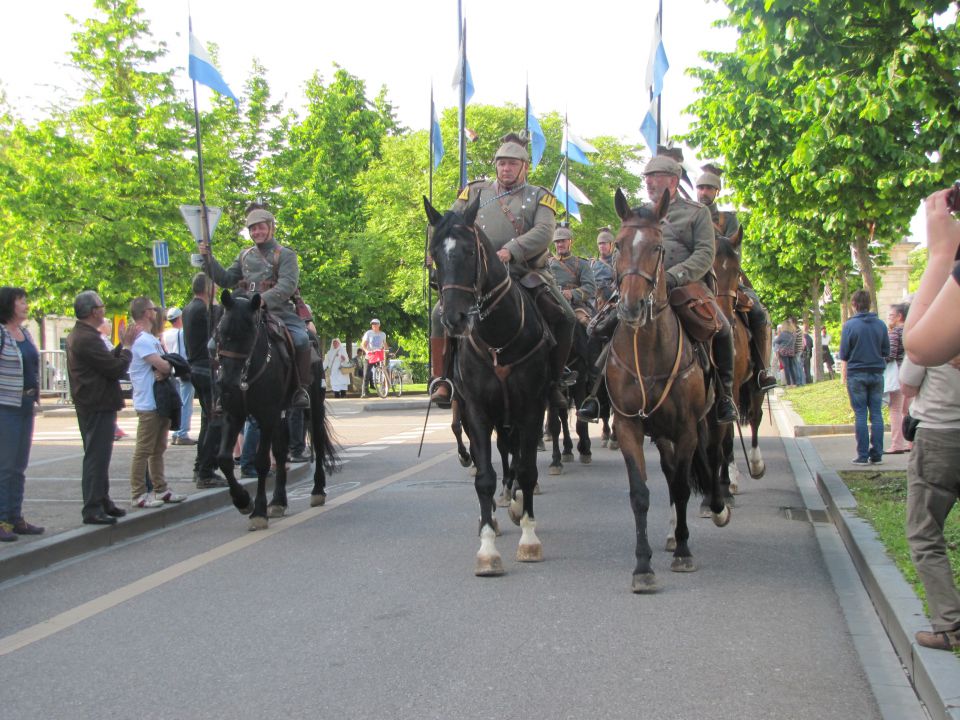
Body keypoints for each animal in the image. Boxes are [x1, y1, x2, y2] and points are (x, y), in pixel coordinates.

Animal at [216, 290, 340, 532]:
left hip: (313, 407)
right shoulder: (234, 415)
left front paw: (258, 512)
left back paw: (317, 490)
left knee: (318, 444)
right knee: (282, 453)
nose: (227, 384)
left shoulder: (266, 415)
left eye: (249, 333)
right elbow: (224, 459)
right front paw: (243, 500)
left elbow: (262, 462)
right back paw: (278, 501)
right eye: (220, 332)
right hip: (280, 416)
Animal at [424, 194, 552, 576]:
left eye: (469, 251)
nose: (453, 318)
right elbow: (484, 476)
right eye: (435, 254)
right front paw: (487, 547)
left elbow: (526, 469)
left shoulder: (531, 409)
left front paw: (529, 538)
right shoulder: (477, 411)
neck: (498, 339)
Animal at [604, 188, 732, 592]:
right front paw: (642, 566)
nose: (630, 306)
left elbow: (681, 486)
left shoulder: (687, 428)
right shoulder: (629, 426)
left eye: (658, 247)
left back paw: (715, 506)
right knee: (674, 469)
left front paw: (684, 552)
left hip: (712, 419)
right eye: (618, 244)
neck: (648, 352)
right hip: (661, 435)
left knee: (712, 456)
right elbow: (641, 493)